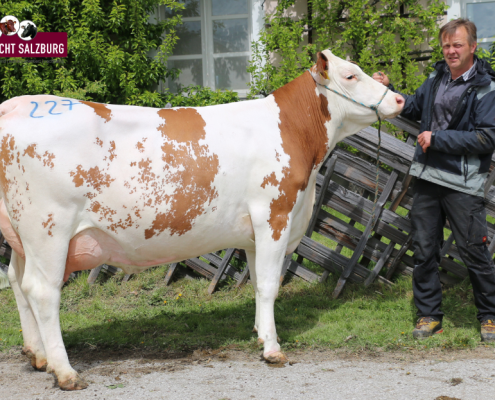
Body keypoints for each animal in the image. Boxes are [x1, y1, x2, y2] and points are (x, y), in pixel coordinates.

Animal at [0, 50, 404, 390]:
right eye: (351, 75)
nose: (399, 98)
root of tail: (19, 105)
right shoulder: (274, 214)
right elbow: (269, 284)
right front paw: (273, 349)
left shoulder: (255, 231)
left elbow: (257, 282)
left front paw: (261, 334)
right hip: (49, 228)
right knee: (42, 290)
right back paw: (65, 372)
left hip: (22, 235)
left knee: (18, 281)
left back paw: (37, 356)